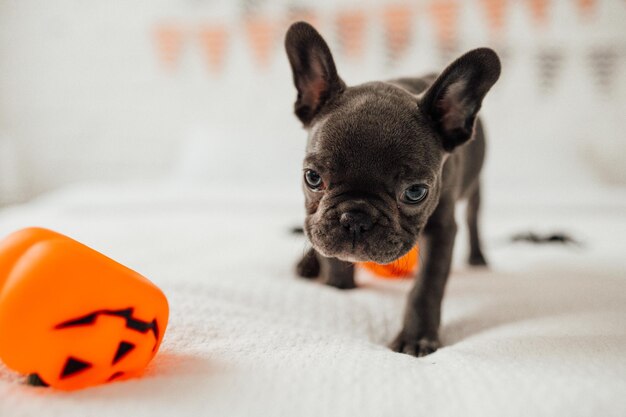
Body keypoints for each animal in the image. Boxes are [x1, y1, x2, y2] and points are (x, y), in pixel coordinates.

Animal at [286, 21, 500, 356]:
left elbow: (427, 285)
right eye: (312, 178)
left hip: (475, 187)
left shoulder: (442, 228)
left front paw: (417, 337)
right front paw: (338, 283)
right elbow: (326, 246)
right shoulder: (320, 222)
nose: (355, 219)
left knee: (474, 217)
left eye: (415, 192)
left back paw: (478, 258)